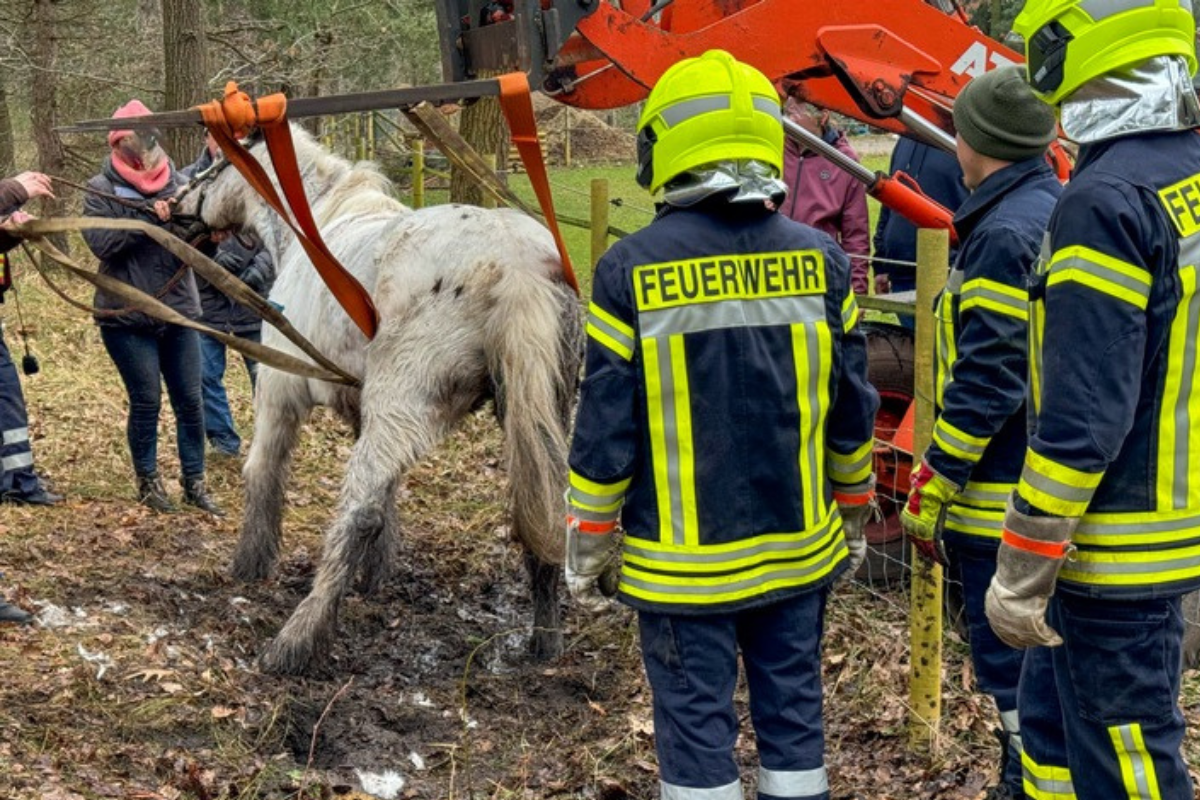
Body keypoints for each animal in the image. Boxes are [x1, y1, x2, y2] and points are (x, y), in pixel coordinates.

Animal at [178, 130, 585, 676]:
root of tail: (516, 265)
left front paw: (250, 563)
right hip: (539, 411)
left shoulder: (280, 389)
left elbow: (264, 472)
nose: (174, 204)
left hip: (401, 401)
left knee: (357, 510)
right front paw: (376, 575)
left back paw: (295, 640)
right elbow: (389, 494)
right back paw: (546, 638)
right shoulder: (360, 407)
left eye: (208, 164)